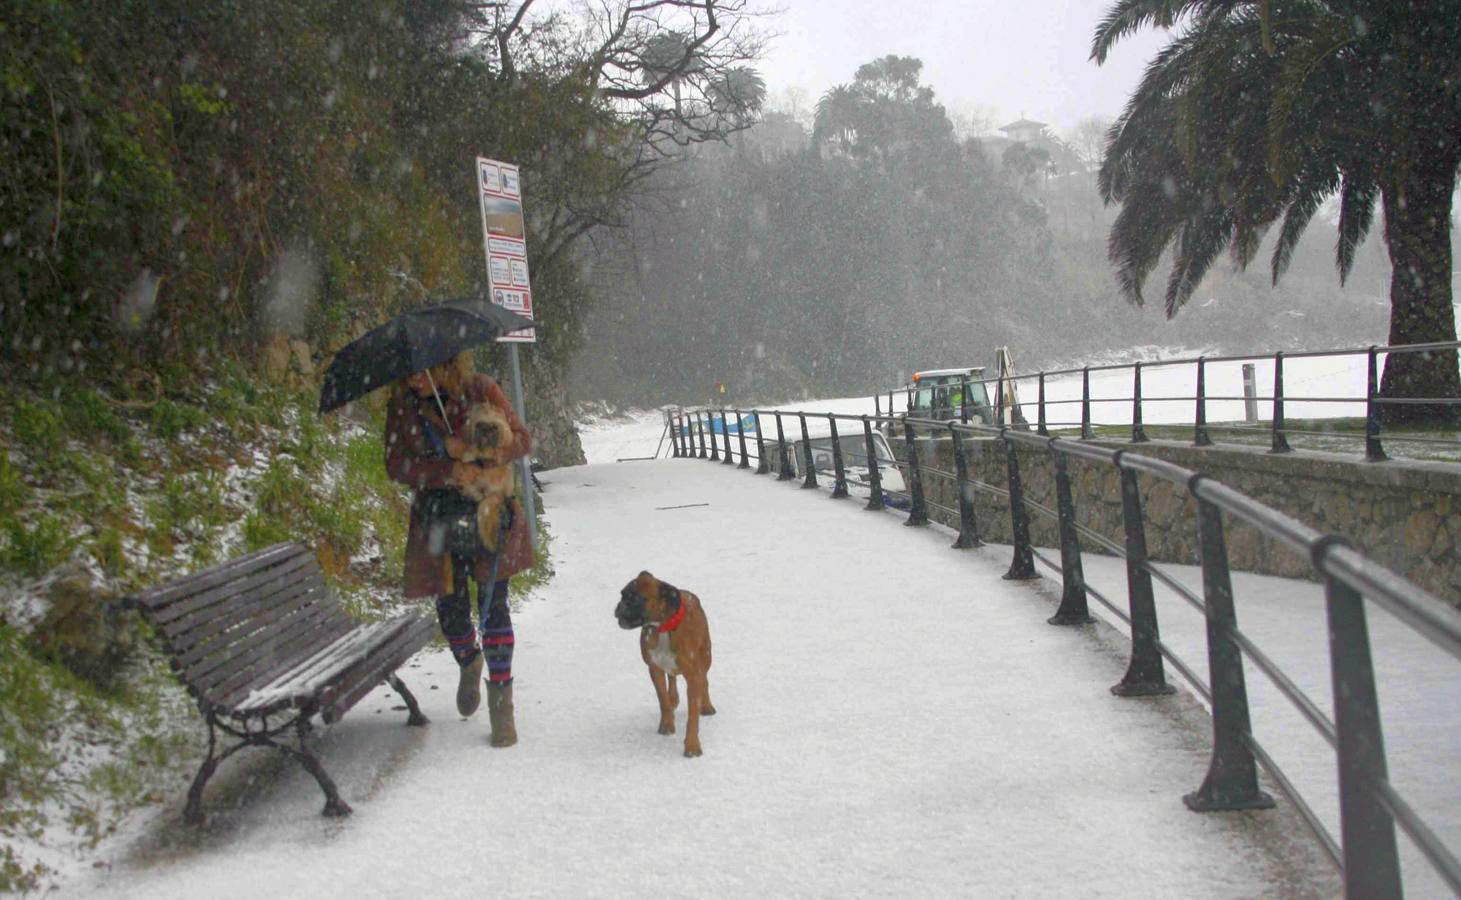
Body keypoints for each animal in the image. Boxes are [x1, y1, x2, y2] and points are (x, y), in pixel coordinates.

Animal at [613, 572, 715, 753]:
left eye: (638, 599)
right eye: (622, 595)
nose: (620, 606)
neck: (663, 627)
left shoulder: (693, 676)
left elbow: (693, 715)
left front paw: (692, 745)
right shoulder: (654, 669)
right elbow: (663, 699)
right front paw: (667, 724)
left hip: (706, 656)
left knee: (705, 679)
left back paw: (706, 705)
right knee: (672, 679)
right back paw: (673, 699)